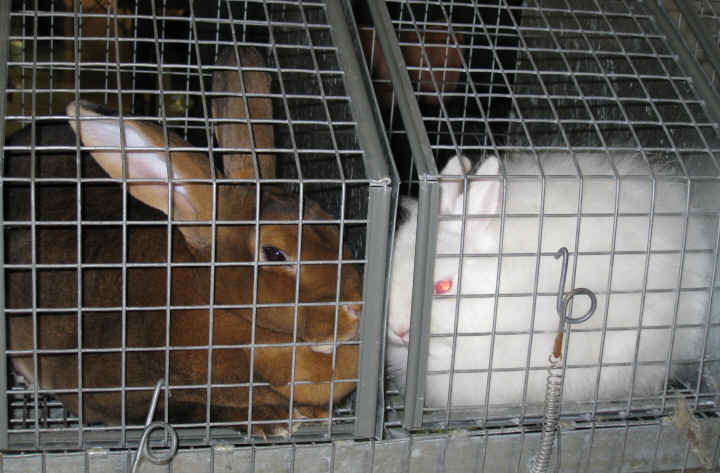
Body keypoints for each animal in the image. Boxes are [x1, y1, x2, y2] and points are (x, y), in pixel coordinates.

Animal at [4, 97, 362, 434]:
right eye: (274, 253)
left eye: (334, 227)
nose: (356, 307)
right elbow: (188, 410)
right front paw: (272, 419)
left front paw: (315, 413)